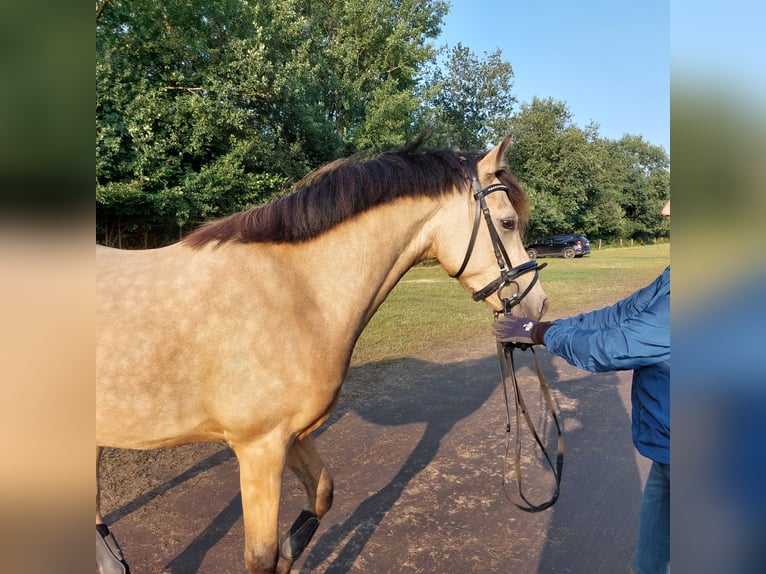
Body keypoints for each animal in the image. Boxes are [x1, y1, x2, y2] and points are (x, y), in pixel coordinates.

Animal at [97, 136, 552, 574]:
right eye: (508, 222)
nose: (538, 305)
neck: (295, 292)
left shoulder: (293, 435)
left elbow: (320, 499)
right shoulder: (259, 449)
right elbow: (260, 556)